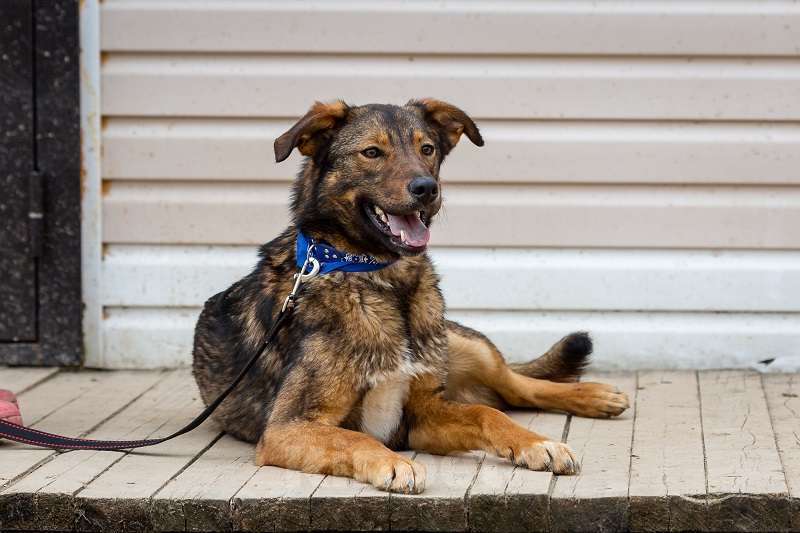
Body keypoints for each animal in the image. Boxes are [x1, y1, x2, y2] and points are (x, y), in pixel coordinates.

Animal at [191, 97, 628, 492]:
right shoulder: (289, 426)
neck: (380, 277)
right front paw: (393, 463)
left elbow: (487, 415)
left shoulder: (423, 413)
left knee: (514, 387)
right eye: (372, 152)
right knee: (506, 393)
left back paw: (595, 397)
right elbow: (353, 437)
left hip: (463, 345)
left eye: (427, 149)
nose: (426, 188)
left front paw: (537, 444)